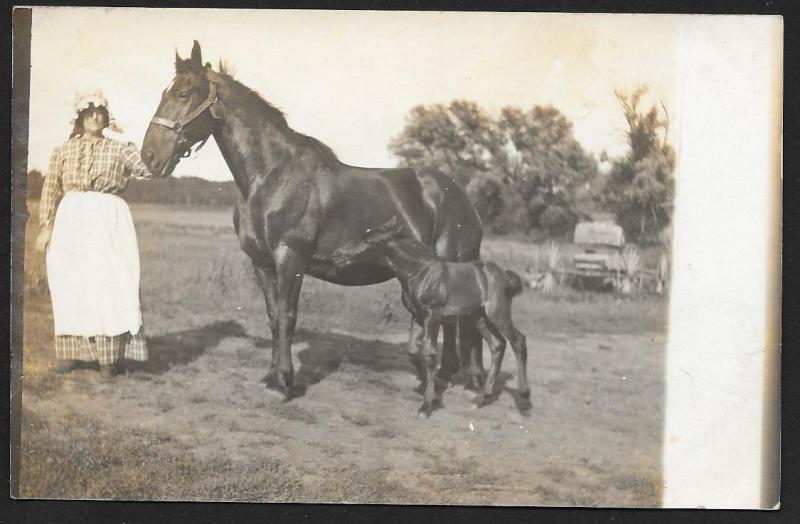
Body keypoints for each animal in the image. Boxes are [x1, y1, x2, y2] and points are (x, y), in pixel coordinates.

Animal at [141, 42, 484, 402]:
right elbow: (273, 316)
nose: (149, 156)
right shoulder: (262, 263)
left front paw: (286, 380)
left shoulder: (290, 257)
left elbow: (287, 317)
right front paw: (271, 376)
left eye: (182, 93)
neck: (273, 175)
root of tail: (459, 194)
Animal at [332, 215, 532, 416]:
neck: (420, 273)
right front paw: (432, 391)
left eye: (367, 241)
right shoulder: (418, 317)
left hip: (498, 312)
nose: (336, 255)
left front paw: (427, 404)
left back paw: (524, 398)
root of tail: (506, 276)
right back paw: (483, 397)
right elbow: (413, 350)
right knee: (498, 344)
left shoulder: (433, 316)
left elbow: (429, 354)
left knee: (518, 340)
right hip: (479, 317)